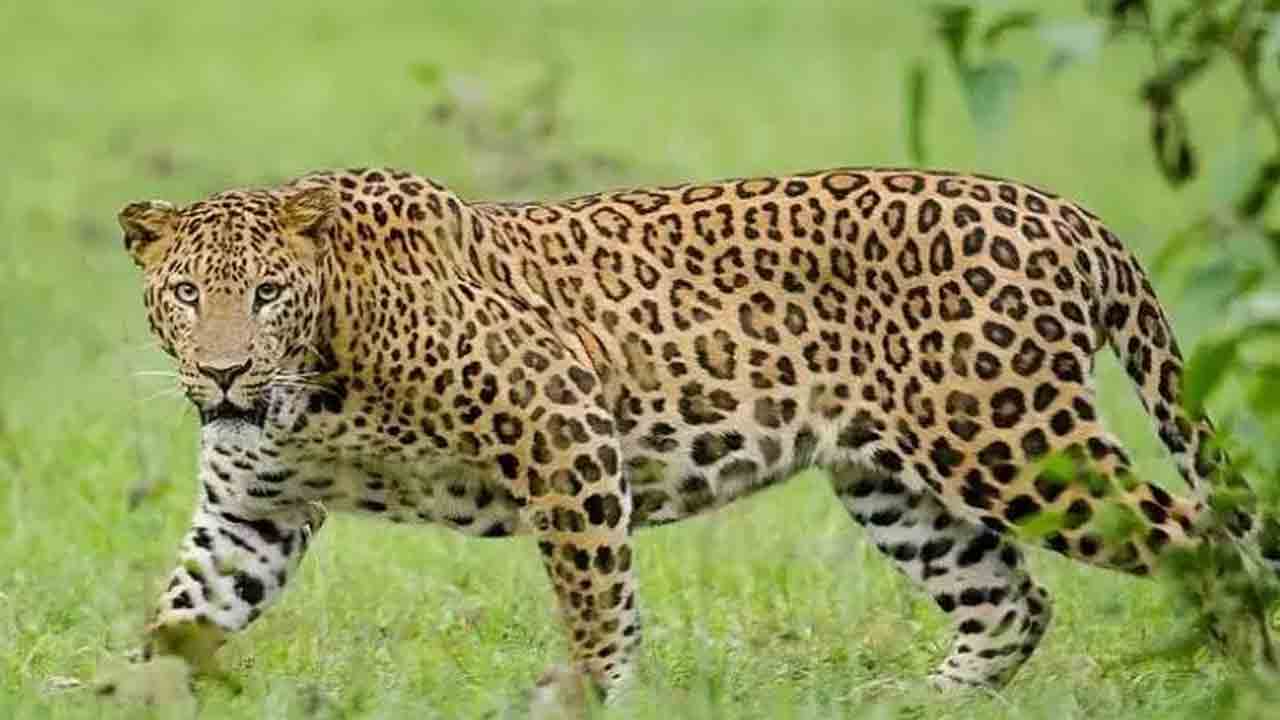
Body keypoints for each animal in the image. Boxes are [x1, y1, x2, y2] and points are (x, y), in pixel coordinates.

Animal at [118, 166, 1278, 701]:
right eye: (186, 293)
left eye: (267, 294)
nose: (223, 371)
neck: (314, 390)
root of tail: (1067, 213)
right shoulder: (251, 513)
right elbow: (181, 617)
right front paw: (127, 695)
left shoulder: (564, 428)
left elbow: (596, 600)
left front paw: (588, 697)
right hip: (894, 481)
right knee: (1010, 601)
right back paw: (916, 707)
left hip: (1010, 441)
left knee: (1203, 544)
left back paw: (1233, 686)